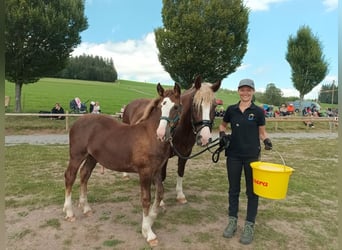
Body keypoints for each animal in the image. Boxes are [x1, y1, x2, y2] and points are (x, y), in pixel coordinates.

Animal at [63, 83, 182, 247]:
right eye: (160, 107)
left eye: (176, 107)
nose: (161, 133)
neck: (150, 136)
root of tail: (77, 122)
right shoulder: (145, 172)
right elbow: (146, 199)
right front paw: (149, 233)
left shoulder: (156, 171)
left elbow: (160, 194)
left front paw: (150, 221)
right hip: (76, 156)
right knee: (70, 177)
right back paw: (69, 213)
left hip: (92, 158)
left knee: (84, 175)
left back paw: (86, 208)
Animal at [123, 75, 222, 203]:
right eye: (195, 105)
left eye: (214, 106)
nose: (204, 138)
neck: (180, 129)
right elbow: (162, 175)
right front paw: (160, 200)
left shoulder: (185, 154)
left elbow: (180, 171)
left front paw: (180, 195)